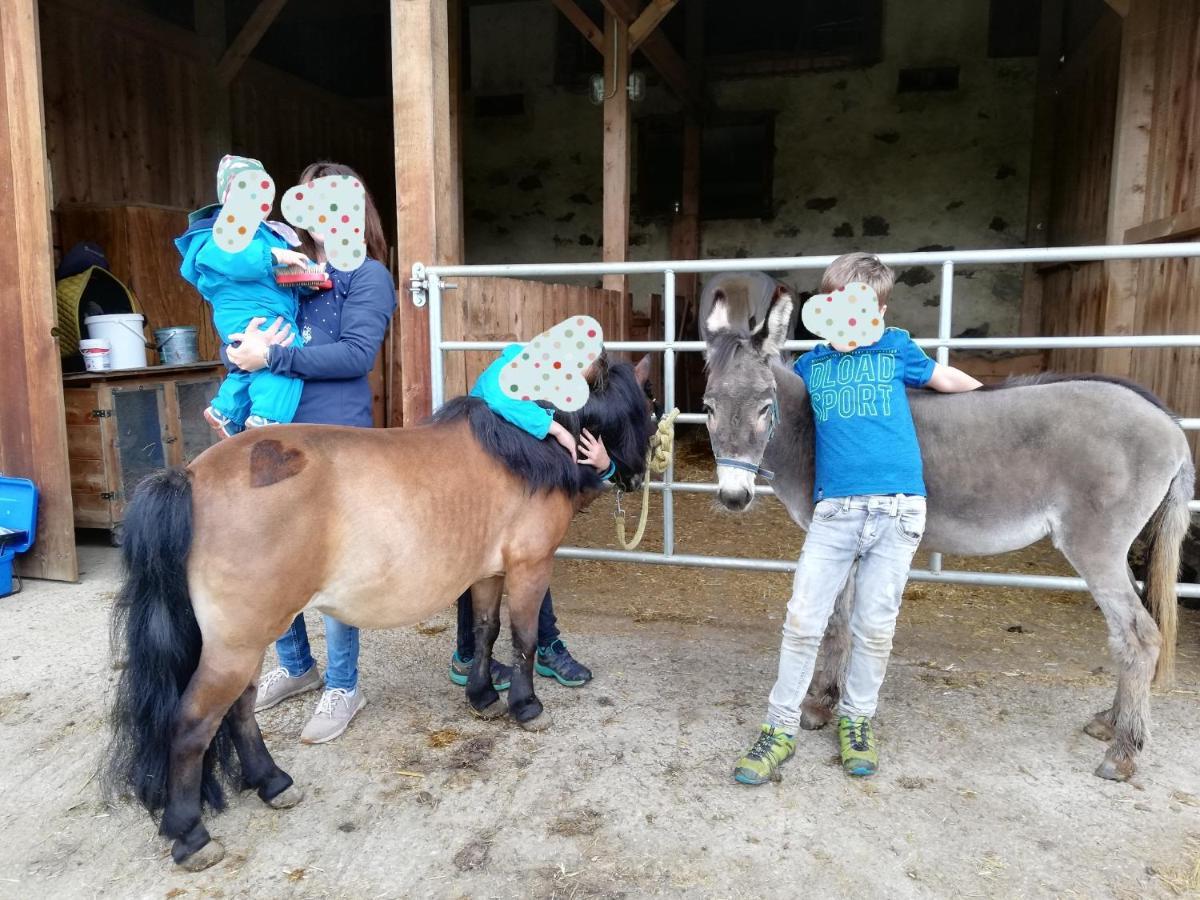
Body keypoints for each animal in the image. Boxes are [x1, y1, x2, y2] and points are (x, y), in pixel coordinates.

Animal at [105, 355, 657, 868]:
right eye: (641, 409)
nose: (631, 474)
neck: (524, 447)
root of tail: (190, 477)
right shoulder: (530, 566)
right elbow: (522, 638)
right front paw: (527, 707)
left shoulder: (488, 574)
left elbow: (485, 631)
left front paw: (482, 696)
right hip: (236, 645)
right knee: (193, 723)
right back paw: (190, 834)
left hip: (246, 640)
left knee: (239, 709)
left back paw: (272, 782)